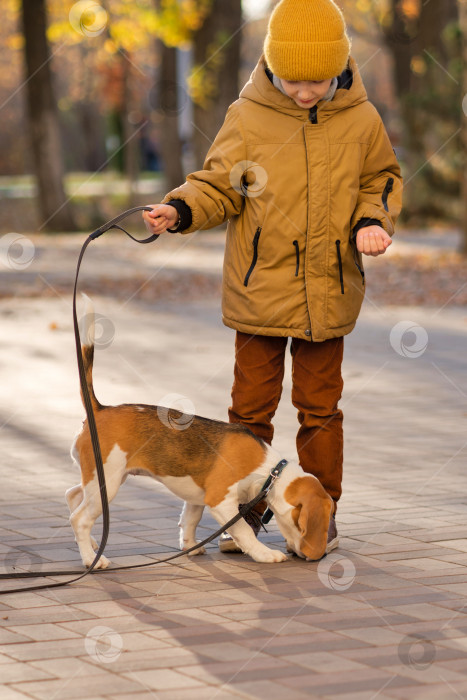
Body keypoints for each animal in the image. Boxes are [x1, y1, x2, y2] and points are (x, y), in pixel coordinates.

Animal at [67, 296, 334, 568]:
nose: (320, 555)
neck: (271, 471)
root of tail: (100, 410)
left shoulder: (197, 497)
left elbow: (190, 519)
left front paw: (190, 546)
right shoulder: (221, 501)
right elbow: (243, 531)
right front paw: (264, 554)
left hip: (103, 479)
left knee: (73, 496)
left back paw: (92, 545)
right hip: (107, 483)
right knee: (80, 519)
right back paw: (92, 559)